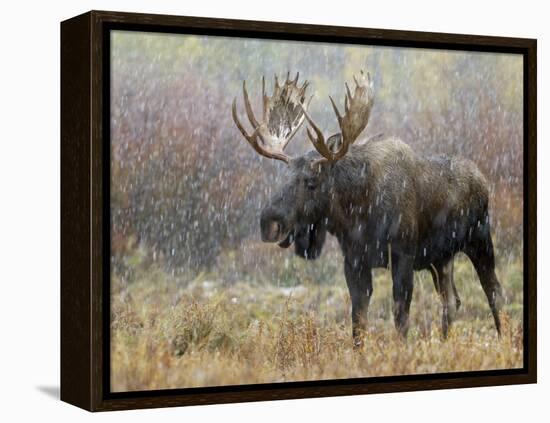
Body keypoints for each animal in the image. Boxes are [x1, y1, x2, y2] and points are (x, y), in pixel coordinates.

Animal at [232, 71, 504, 346]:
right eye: (283, 176)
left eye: (311, 181)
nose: (268, 223)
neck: (357, 213)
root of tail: (483, 180)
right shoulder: (354, 259)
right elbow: (358, 321)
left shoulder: (403, 252)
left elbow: (400, 315)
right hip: (441, 258)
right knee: (451, 301)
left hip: (480, 239)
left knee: (494, 292)